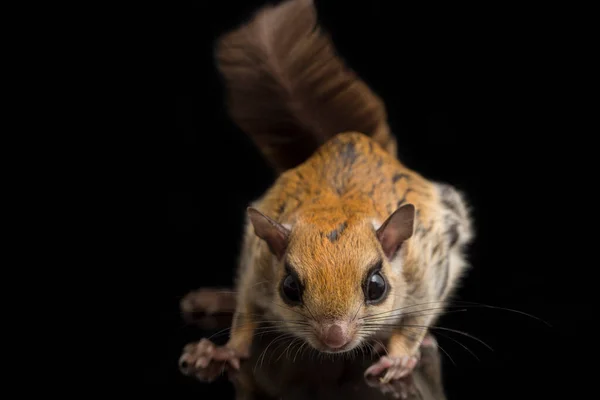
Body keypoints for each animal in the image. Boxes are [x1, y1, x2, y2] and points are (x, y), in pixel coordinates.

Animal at [178, 0, 474, 384]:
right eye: (290, 288)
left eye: (376, 287)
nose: (335, 337)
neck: (338, 212)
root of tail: (351, 139)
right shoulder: (256, 267)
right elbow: (245, 315)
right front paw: (222, 351)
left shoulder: (426, 272)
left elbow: (413, 324)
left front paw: (397, 357)